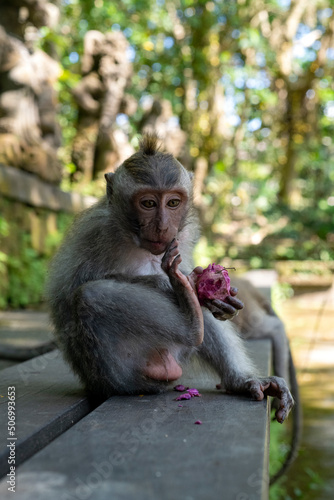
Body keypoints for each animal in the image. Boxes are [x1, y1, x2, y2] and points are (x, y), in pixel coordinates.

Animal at [46, 136, 292, 422]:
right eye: (148, 203)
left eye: (173, 203)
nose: (163, 226)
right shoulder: (95, 233)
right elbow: (71, 290)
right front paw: (167, 282)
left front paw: (218, 299)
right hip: (117, 372)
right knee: (89, 296)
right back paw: (190, 314)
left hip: (174, 354)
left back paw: (239, 379)